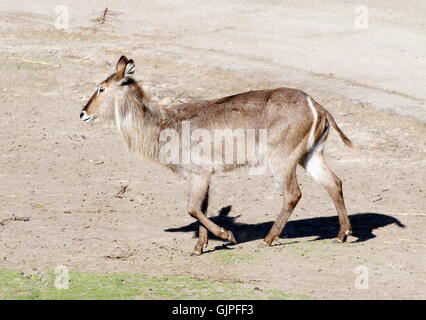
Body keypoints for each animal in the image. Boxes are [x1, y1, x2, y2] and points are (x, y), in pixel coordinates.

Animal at [80, 55, 352, 255]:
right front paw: (199, 247)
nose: (82, 113)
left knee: (293, 194)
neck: (164, 124)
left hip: (282, 160)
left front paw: (226, 235)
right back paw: (342, 235)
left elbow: (192, 208)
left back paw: (268, 238)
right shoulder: (204, 174)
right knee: (334, 183)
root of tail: (318, 107)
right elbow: (202, 208)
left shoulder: (199, 173)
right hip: (310, 155)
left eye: (101, 88)